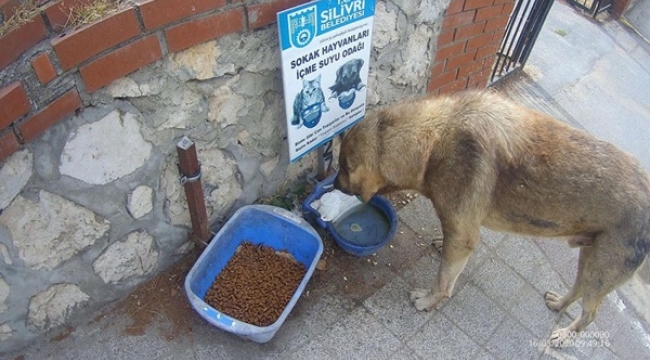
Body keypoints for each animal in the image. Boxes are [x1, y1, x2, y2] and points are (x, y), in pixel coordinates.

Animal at [334, 89, 648, 346]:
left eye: (344, 168)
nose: (334, 184)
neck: (434, 141)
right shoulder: (460, 232)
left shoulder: (463, 238)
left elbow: (443, 281)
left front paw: (429, 301)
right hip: (589, 260)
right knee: (578, 288)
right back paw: (559, 304)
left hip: (599, 272)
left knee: (592, 313)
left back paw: (566, 335)